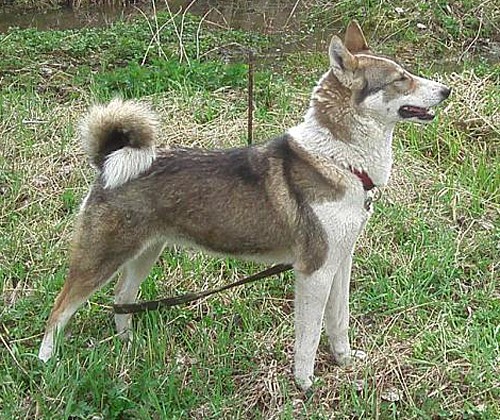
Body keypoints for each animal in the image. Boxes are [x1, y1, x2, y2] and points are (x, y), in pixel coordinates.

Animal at [38, 21, 450, 391]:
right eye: (400, 79)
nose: (446, 90)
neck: (339, 160)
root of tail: (109, 161)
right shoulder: (314, 272)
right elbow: (309, 336)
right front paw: (305, 384)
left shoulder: (340, 263)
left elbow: (338, 323)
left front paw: (345, 362)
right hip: (101, 259)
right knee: (59, 309)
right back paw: (46, 364)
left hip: (144, 254)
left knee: (121, 301)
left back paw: (129, 346)